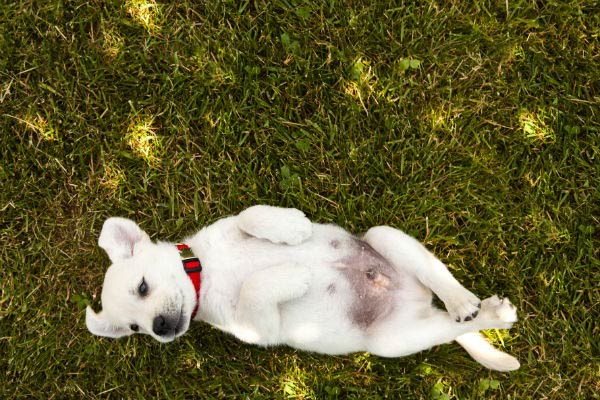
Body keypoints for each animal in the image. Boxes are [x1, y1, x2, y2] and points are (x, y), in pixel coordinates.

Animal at [85, 206, 520, 372]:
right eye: (136, 330)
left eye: (143, 287)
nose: (159, 328)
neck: (207, 271)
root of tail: (420, 303)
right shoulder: (258, 329)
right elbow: (256, 287)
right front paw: (295, 276)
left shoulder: (231, 224)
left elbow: (249, 215)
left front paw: (292, 227)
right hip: (395, 339)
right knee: (453, 327)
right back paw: (492, 313)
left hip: (384, 237)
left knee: (441, 280)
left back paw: (464, 301)